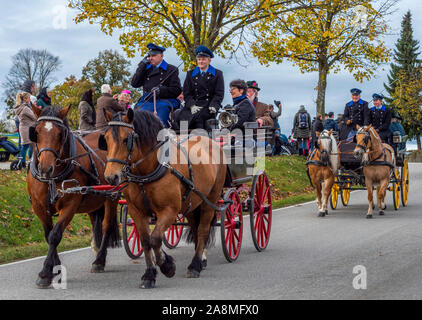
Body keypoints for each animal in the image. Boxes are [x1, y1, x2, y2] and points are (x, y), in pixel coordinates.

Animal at [27, 105, 120, 288]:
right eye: (36, 132)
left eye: (60, 134)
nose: (45, 168)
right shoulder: (39, 207)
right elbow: (48, 236)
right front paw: (55, 270)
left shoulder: (70, 204)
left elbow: (55, 235)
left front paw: (45, 272)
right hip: (94, 201)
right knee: (96, 223)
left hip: (112, 196)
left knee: (106, 226)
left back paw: (99, 261)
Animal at [99, 109, 227, 288]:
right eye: (106, 139)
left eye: (126, 139)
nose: (111, 177)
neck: (147, 172)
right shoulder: (136, 211)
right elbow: (146, 241)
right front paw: (150, 274)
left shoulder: (169, 210)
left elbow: (156, 239)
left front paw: (167, 265)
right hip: (191, 203)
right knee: (195, 227)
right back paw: (200, 259)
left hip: (211, 199)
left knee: (203, 229)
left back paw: (195, 265)